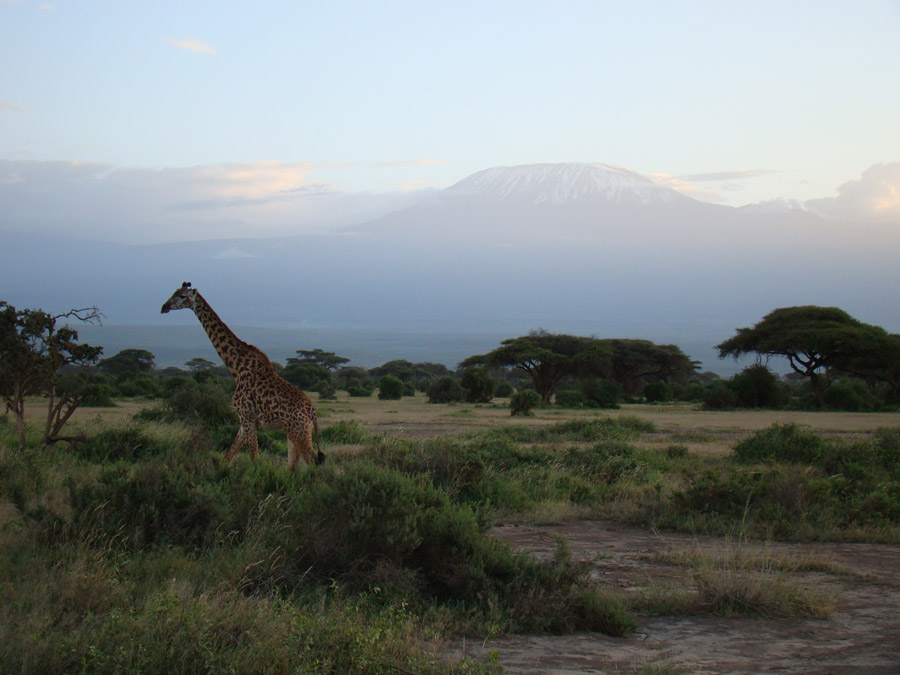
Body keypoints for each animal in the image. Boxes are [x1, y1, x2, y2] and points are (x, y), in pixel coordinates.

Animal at [160, 282, 326, 472]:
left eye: (182, 296)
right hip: (292, 430)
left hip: (298, 430)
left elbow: (254, 459)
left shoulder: (247, 417)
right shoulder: (243, 420)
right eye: (174, 292)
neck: (236, 366)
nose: (164, 307)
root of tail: (311, 410)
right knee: (293, 467)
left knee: (313, 462)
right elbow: (228, 457)